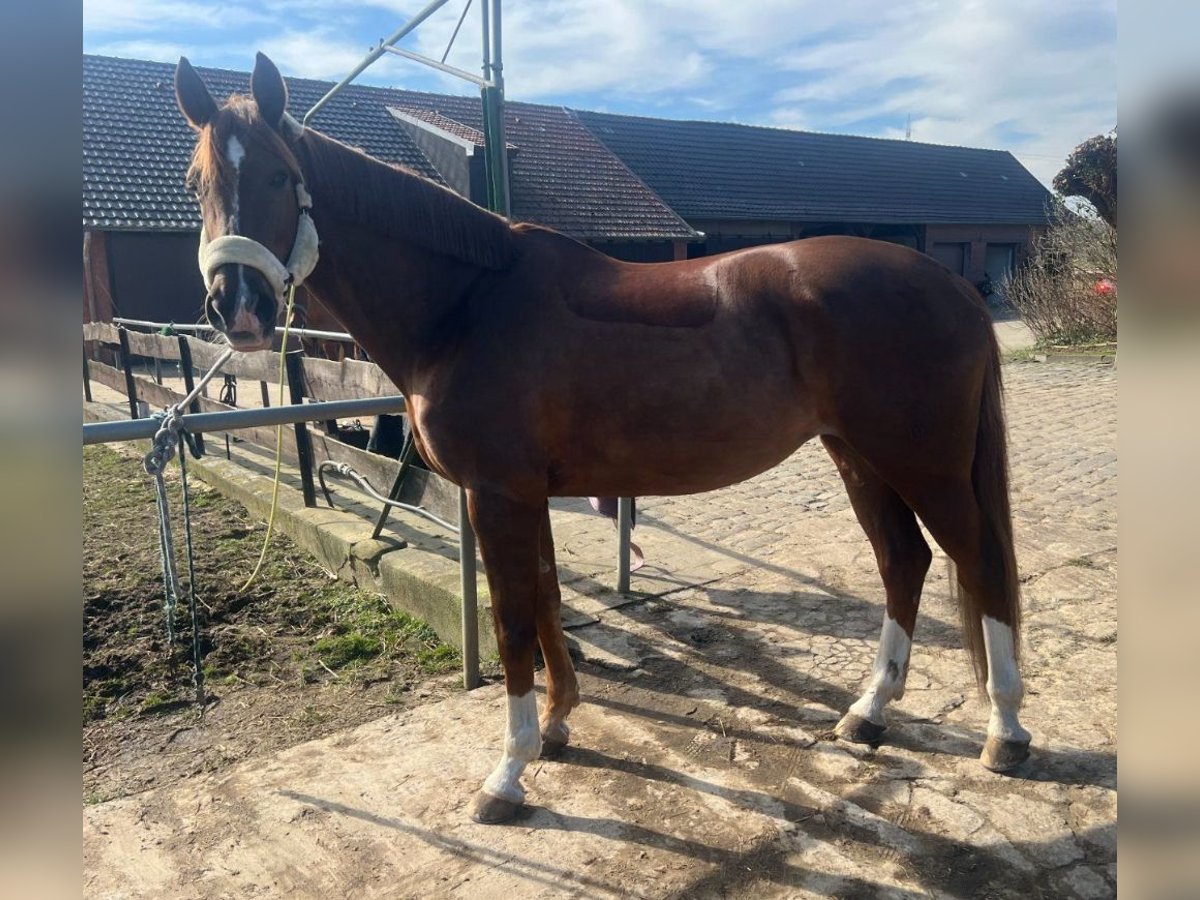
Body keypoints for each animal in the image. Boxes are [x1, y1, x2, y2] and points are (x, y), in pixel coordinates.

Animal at [175, 51, 1032, 825]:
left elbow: (514, 620)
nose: (236, 307)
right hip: (859, 456)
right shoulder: (529, 494)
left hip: (924, 465)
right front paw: (557, 726)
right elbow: (548, 598)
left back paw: (1005, 731)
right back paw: (869, 712)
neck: (466, 303)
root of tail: (952, 283)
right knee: (905, 562)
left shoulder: (496, 494)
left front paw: (508, 773)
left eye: (280, 178)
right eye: (195, 183)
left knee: (980, 563)